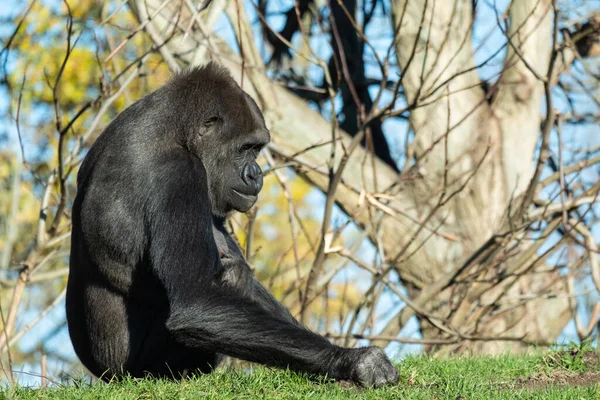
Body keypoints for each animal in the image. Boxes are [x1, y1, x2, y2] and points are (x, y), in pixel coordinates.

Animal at [65, 63, 398, 388]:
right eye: (244, 148)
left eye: (257, 149)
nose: (256, 174)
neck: (174, 129)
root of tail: (103, 375)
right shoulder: (178, 174)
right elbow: (198, 301)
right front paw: (350, 360)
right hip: (133, 373)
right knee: (232, 277)